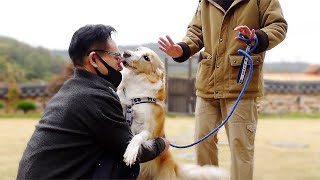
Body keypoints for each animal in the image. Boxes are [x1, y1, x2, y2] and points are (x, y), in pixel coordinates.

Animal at [116, 47, 229, 179]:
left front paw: (130, 153)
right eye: (137, 49)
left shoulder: (150, 131)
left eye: (146, 58)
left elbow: (138, 137)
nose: (126, 53)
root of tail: (175, 166)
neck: (135, 100)